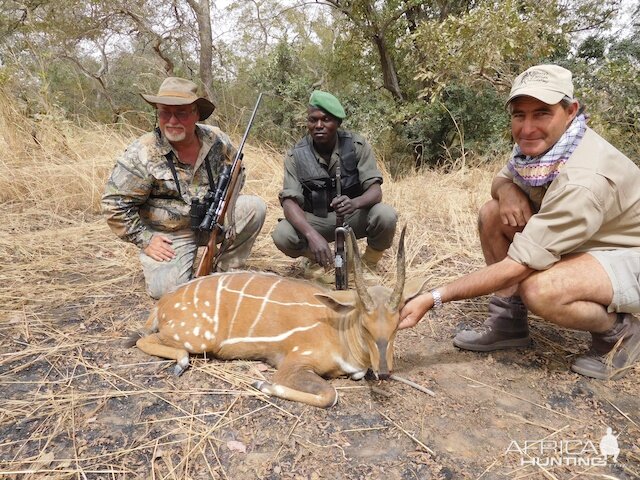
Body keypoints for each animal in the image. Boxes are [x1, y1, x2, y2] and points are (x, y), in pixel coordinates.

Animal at [131, 227, 424, 406]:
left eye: (397, 325)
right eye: (365, 326)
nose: (384, 372)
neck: (340, 331)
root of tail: (163, 304)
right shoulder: (293, 362)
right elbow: (329, 395)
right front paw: (262, 384)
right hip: (197, 338)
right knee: (143, 340)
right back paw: (181, 362)